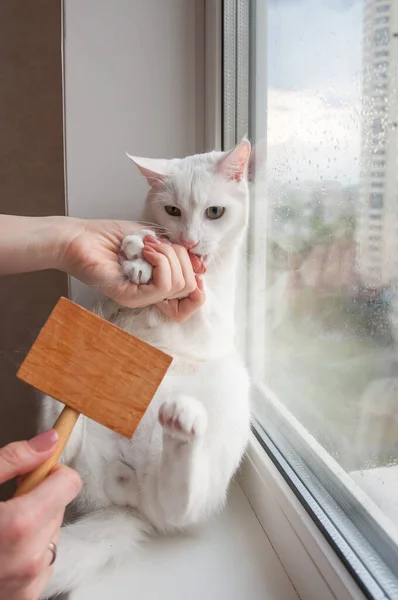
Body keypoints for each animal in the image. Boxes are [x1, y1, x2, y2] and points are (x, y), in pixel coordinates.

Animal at [41, 139, 252, 596]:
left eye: (214, 212)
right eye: (172, 210)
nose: (189, 239)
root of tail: (129, 500)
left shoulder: (215, 323)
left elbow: (201, 299)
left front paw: (161, 264)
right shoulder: (115, 301)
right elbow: (136, 270)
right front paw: (139, 250)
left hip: (228, 386)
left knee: (178, 503)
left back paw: (182, 423)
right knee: (64, 451)